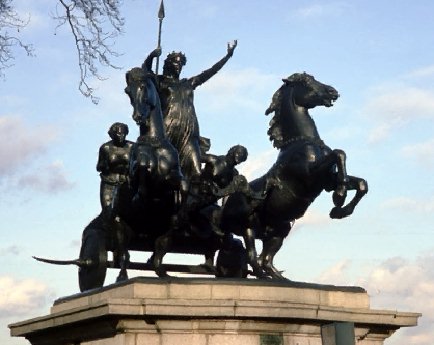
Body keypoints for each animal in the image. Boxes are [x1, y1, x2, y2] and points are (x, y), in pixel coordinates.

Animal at [220, 72, 366, 280]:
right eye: (306, 82)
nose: (333, 91)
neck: (302, 142)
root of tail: (227, 200)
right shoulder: (309, 176)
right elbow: (339, 153)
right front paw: (339, 198)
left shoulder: (326, 181)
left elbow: (361, 183)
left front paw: (340, 210)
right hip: (248, 227)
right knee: (252, 257)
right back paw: (264, 278)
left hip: (279, 230)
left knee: (266, 260)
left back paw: (281, 279)